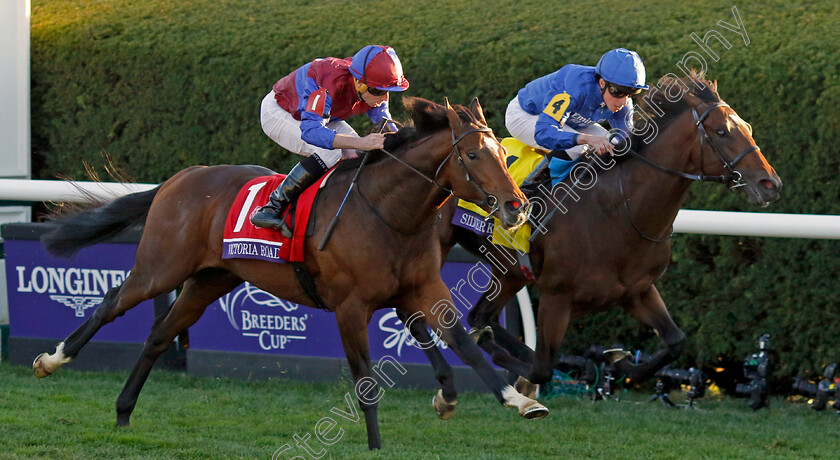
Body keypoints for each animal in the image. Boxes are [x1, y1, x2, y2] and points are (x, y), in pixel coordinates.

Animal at [32, 95, 548, 452]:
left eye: (503, 154)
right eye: (475, 156)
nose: (516, 207)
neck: (388, 211)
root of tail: (180, 178)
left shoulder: (421, 287)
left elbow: (462, 342)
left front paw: (520, 400)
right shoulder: (350, 307)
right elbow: (365, 381)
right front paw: (376, 445)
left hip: (209, 280)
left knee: (159, 335)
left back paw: (123, 413)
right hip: (161, 266)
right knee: (112, 302)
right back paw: (52, 361)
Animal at [426, 73, 788, 398]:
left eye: (748, 127)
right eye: (722, 131)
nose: (770, 183)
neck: (619, 210)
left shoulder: (638, 290)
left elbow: (675, 342)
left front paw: (615, 360)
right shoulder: (556, 296)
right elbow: (542, 368)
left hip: (511, 271)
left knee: (481, 315)